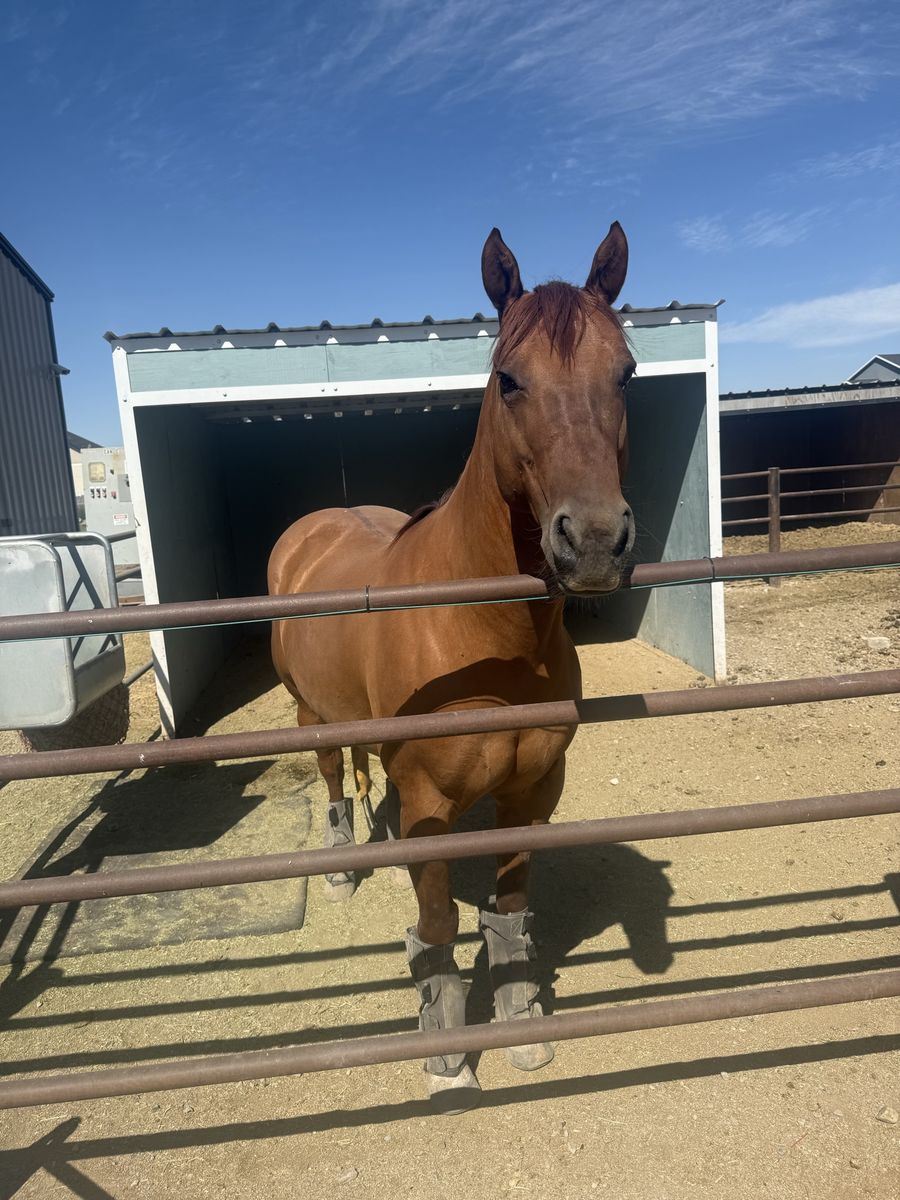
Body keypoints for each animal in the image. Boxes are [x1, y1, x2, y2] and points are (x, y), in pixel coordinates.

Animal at [268, 222, 636, 1108]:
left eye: (627, 373)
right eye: (509, 379)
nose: (595, 543)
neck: (486, 639)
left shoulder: (533, 791)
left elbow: (510, 909)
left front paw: (519, 1022)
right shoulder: (433, 806)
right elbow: (436, 924)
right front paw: (444, 1048)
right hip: (309, 711)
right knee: (332, 772)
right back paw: (340, 862)